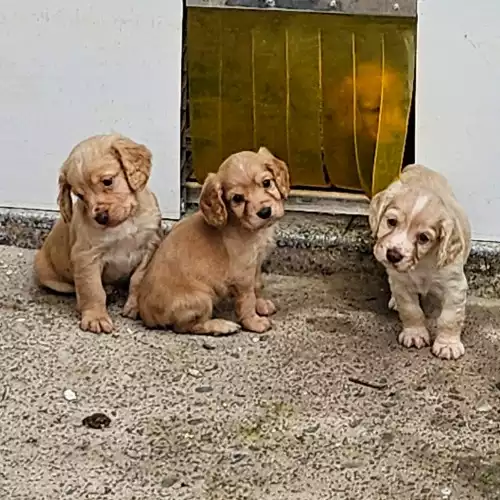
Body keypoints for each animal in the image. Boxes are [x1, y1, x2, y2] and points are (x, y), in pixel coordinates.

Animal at [33, 135, 162, 334]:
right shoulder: (86, 257)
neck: (125, 223)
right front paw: (96, 317)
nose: (101, 217)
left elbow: (138, 279)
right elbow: (92, 289)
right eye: (80, 195)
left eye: (107, 181)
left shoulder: (150, 245)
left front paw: (135, 306)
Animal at [139, 148, 292, 336]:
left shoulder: (255, 264)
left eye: (266, 182)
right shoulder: (242, 274)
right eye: (237, 198)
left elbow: (257, 285)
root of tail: (146, 314)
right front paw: (254, 322)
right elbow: (247, 299)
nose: (265, 212)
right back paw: (223, 326)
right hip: (202, 298)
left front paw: (261, 305)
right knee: (187, 327)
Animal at [370, 165, 470, 360]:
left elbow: (450, 317)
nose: (393, 255)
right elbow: (411, 310)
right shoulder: (401, 283)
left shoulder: (455, 285)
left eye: (423, 238)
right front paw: (415, 334)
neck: (422, 264)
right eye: (391, 222)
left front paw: (448, 345)